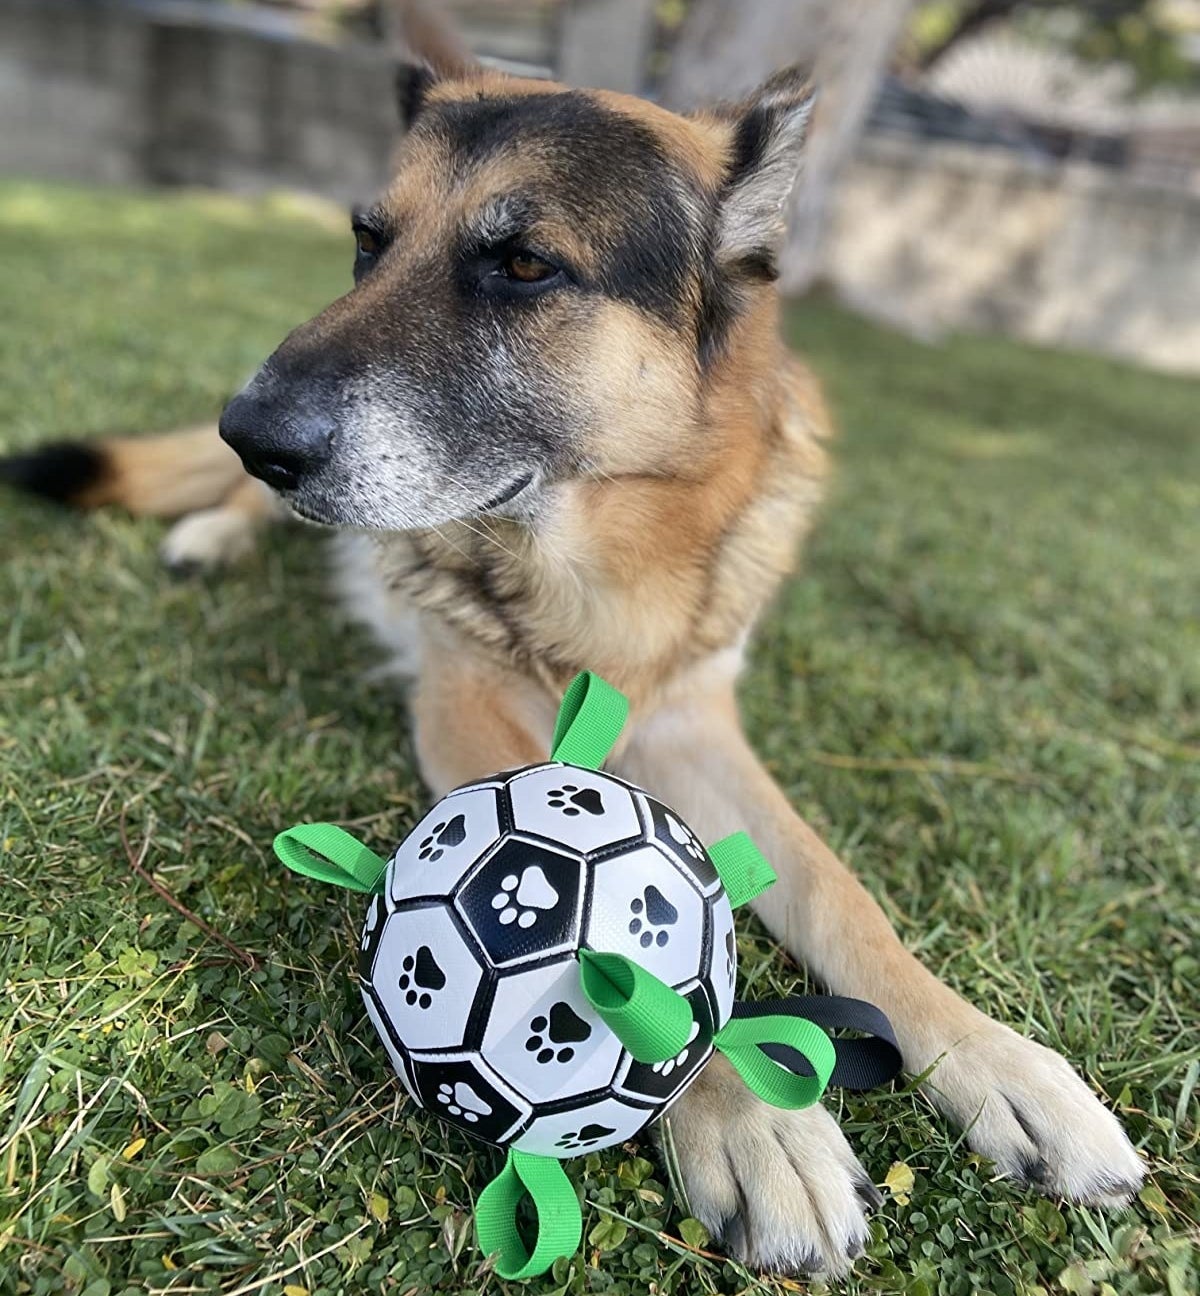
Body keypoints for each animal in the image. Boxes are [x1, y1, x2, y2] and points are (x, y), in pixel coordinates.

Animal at [0, 50, 1145, 1275]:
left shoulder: (698, 727)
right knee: (239, 509)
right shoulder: (470, 712)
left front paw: (996, 1060)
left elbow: (845, 900)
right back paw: (212, 531)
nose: (249, 431)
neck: (605, 566)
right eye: (368, 240)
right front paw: (749, 1117)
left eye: (523, 263)